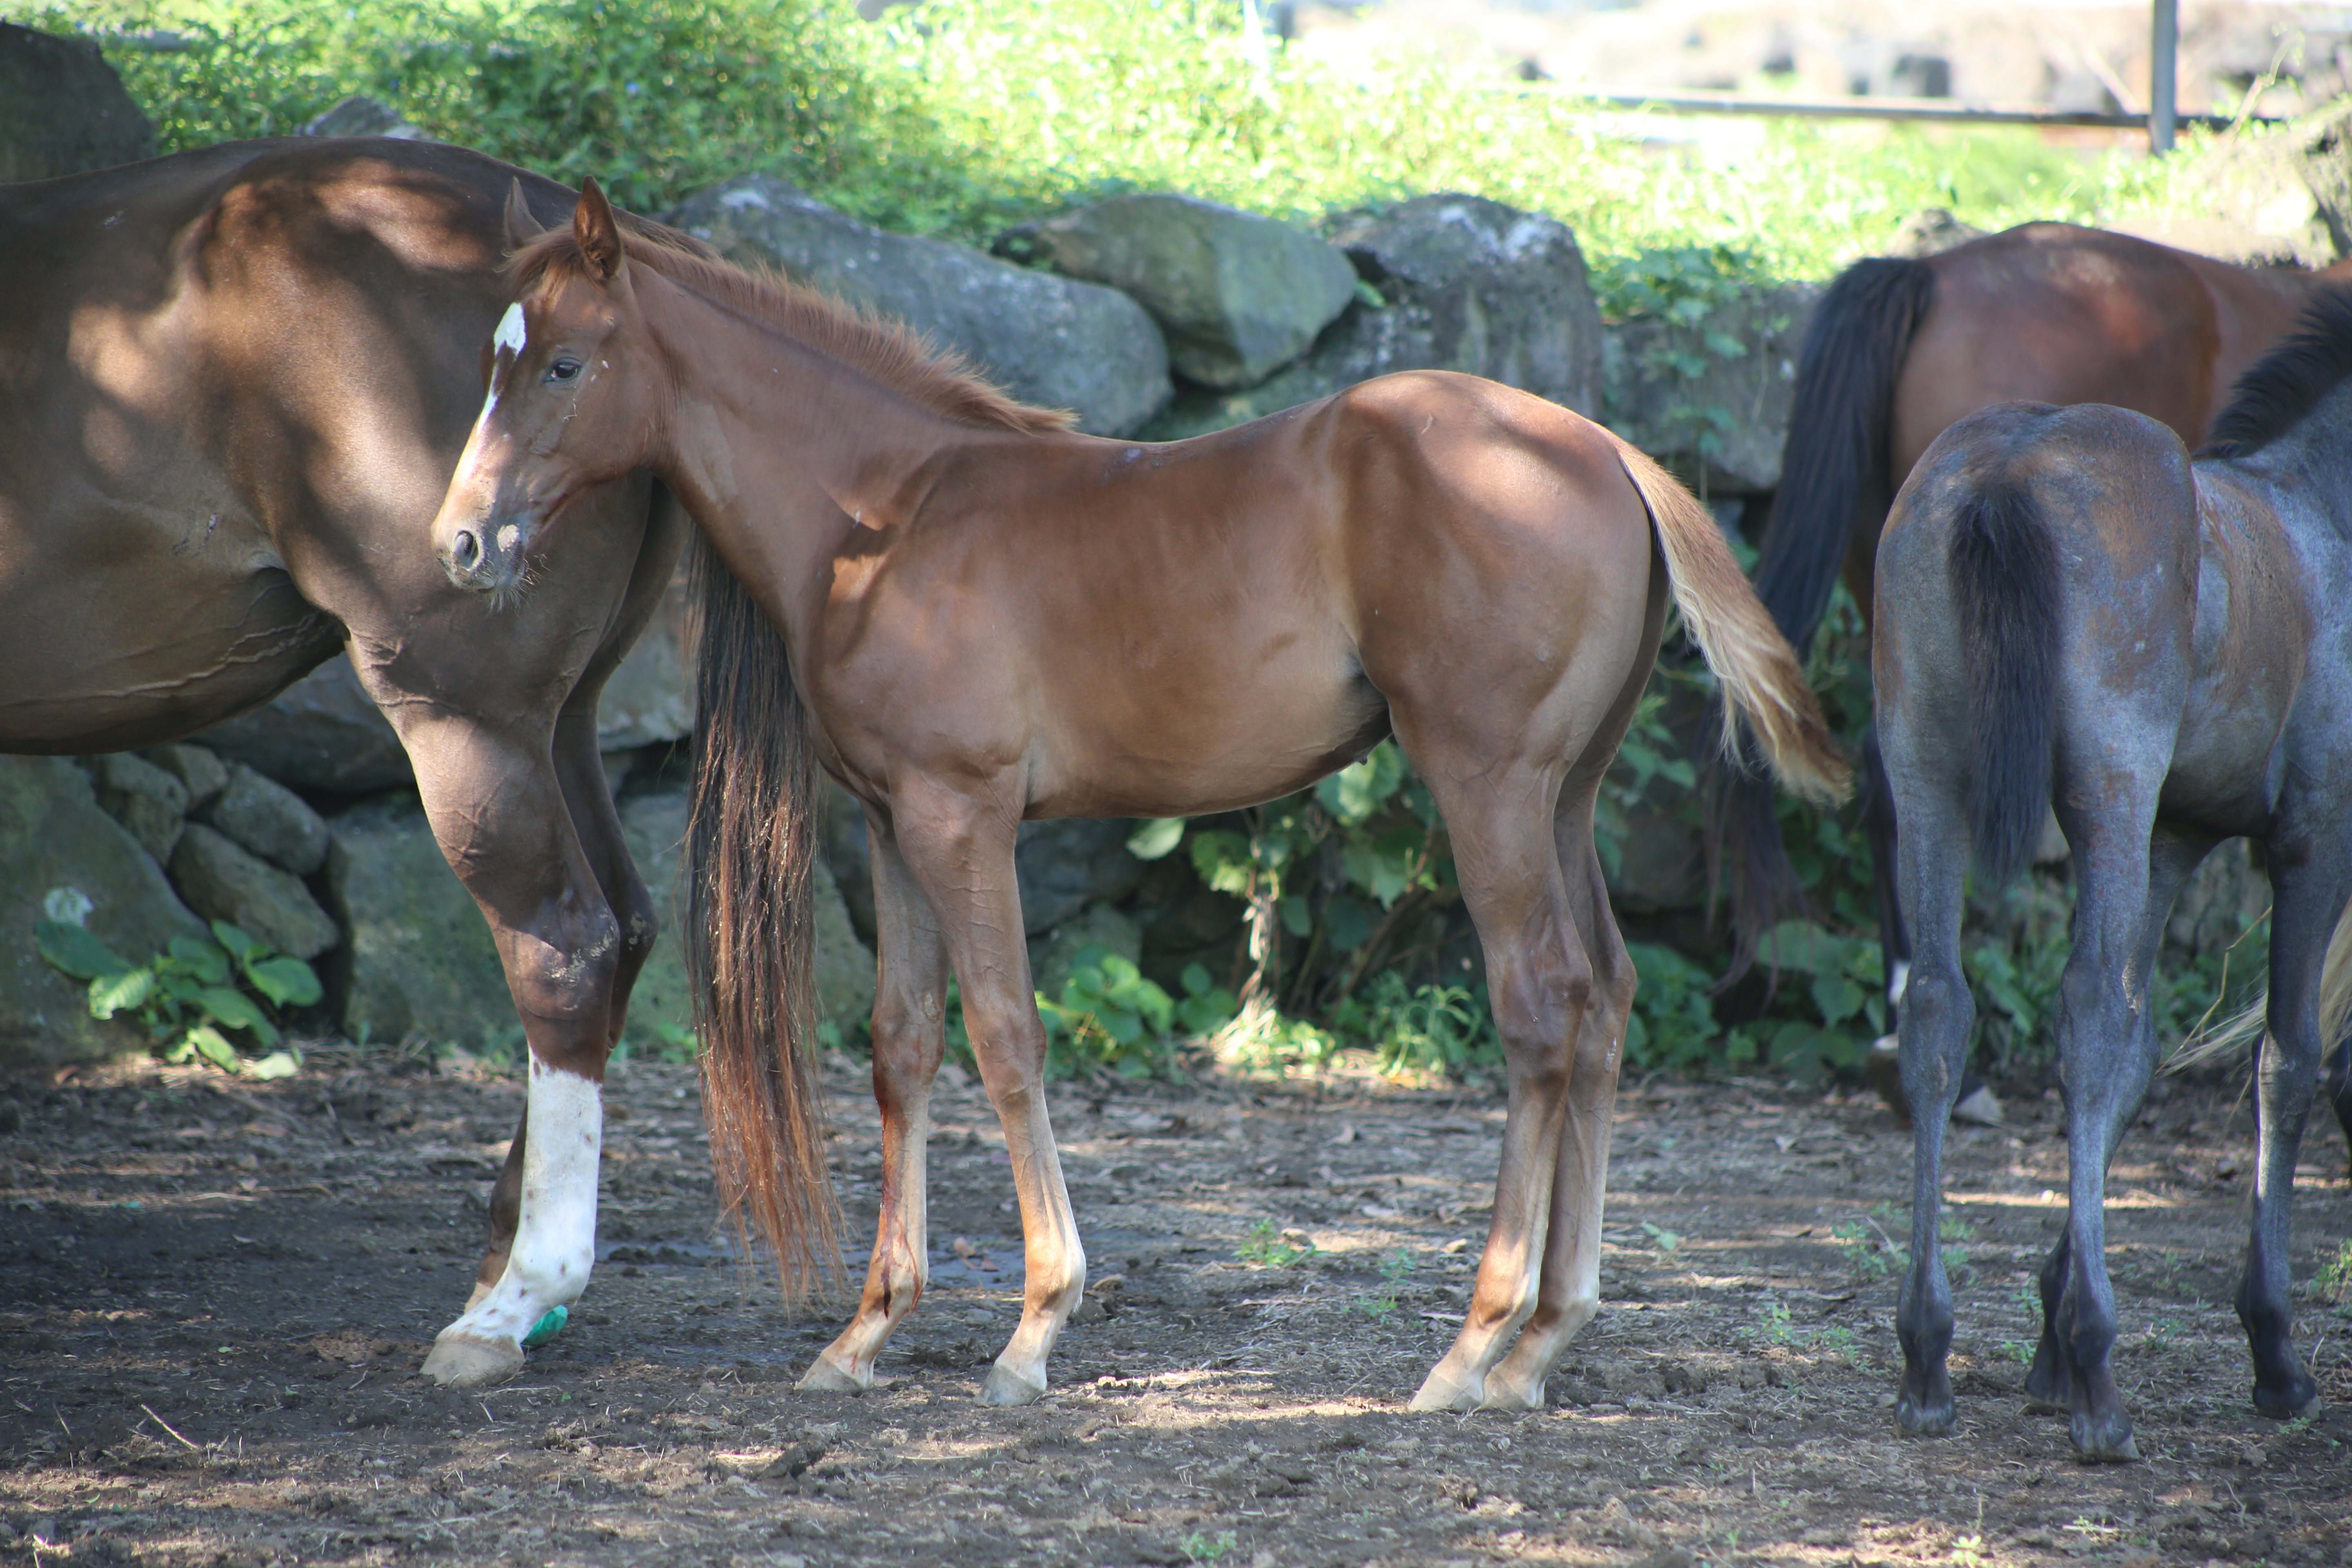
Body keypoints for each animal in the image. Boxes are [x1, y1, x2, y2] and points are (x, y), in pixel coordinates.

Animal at [0, 135, 691, 1382]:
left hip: (467, 720)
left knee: (561, 944)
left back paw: (521, 1293)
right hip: (560, 723)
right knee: (622, 929)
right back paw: (511, 1279)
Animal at [419, 184, 1853, 1410]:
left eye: (561, 365)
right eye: (491, 359)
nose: (462, 543)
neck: (885, 516)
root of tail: (1607, 448)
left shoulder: (963, 816)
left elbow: (1007, 1037)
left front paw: (1034, 1329)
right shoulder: (890, 823)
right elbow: (901, 1048)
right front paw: (867, 1332)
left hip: (1486, 782)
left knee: (1541, 1004)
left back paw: (1472, 1346)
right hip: (1566, 794)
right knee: (1606, 995)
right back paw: (1546, 1341)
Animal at [1872, 288, 2352, 1467]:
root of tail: (2006, 468)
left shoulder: (2175, 836)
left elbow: (2137, 1058)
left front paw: (2044, 1334)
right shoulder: (2312, 832)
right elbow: (2285, 1059)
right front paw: (2271, 1349)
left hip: (1928, 782)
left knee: (1940, 1012)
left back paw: (1928, 1353)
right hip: (2107, 790)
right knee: (2082, 1010)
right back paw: (2098, 1374)